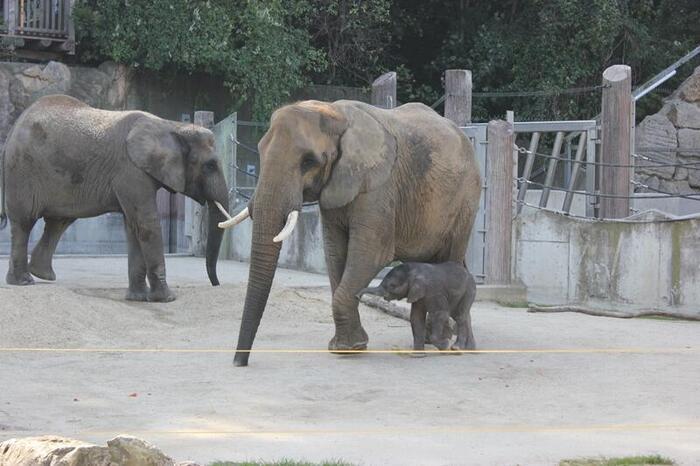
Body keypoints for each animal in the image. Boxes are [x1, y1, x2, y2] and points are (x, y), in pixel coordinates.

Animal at [0, 93, 234, 302]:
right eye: (210, 166)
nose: (216, 284)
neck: (172, 126)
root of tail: (12, 130)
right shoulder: (130, 170)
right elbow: (146, 224)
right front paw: (166, 299)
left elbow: (133, 226)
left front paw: (138, 298)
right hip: (22, 170)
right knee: (25, 222)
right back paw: (23, 281)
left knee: (59, 221)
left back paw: (42, 275)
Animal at [219, 99, 482, 368]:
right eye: (260, 151)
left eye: (308, 161)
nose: (239, 363)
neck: (335, 113)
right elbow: (335, 253)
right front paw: (346, 347)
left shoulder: (378, 187)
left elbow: (370, 254)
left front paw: (349, 348)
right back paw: (436, 339)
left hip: (466, 199)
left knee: (450, 256)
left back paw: (449, 341)